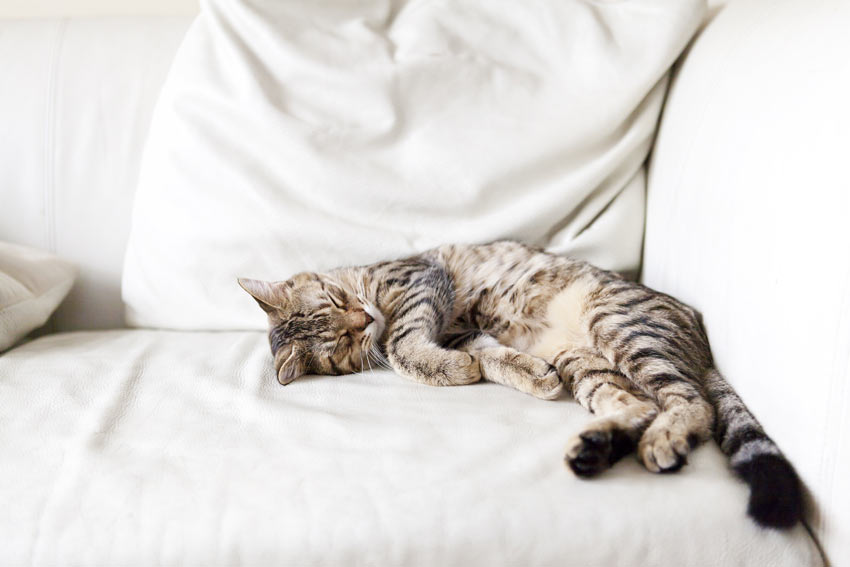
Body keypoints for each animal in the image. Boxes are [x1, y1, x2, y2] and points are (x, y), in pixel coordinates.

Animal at [237, 239, 800, 528]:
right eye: (341, 342)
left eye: (336, 301)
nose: (363, 320)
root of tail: (697, 331)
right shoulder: (467, 333)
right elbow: (488, 359)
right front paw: (504, 372)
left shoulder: (421, 281)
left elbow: (401, 343)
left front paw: (433, 359)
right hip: (586, 363)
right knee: (636, 405)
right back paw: (595, 445)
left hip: (622, 326)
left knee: (692, 402)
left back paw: (664, 437)